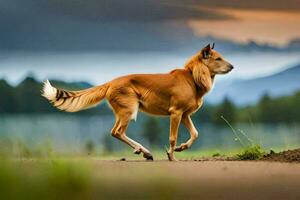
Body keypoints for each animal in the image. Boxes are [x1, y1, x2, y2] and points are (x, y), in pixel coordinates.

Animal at [42, 43, 233, 161]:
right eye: (217, 59)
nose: (232, 67)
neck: (192, 77)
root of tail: (111, 82)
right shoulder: (176, 113)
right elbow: (172, 138)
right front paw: (172, 156)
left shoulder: (185, 115)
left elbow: (195, 133)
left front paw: (182, 148)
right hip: (130, 110)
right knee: (118, 132)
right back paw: (144, 151)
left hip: (123, 112)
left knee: (114, 132)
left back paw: (144, 151)